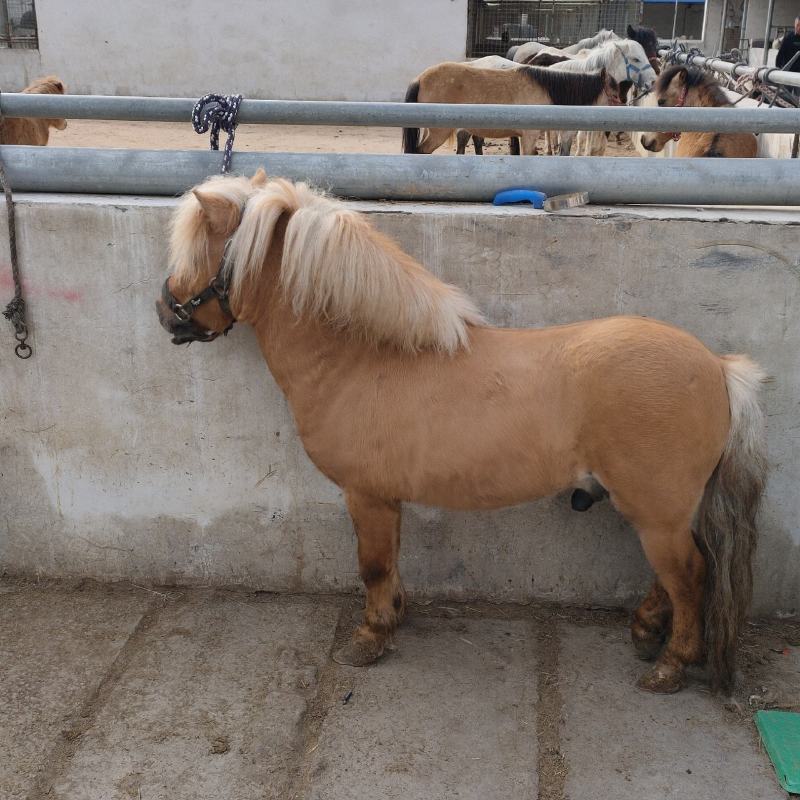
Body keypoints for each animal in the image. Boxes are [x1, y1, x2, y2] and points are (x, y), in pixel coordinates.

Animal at [157, 170, 768, 697]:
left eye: (201, 250)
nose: (165, 310)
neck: (361, 357)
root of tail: (718, 367)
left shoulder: (365, 495)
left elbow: (372, 566)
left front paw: (369, 638)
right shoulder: (386, 499)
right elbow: (390, 561)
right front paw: (393, 618)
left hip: (657, 513)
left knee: (689, 575)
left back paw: (670, 665)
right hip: (658, 511)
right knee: (679, 572)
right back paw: (645, 632)